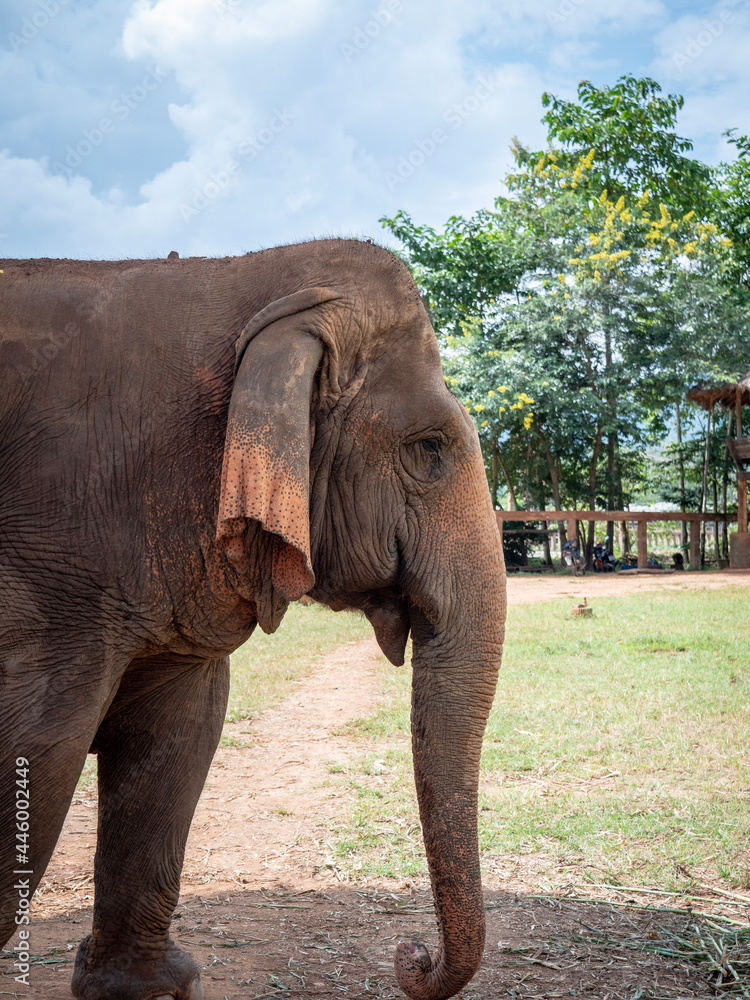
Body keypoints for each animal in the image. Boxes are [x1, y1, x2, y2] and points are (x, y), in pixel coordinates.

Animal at [0, 239, 505, 1000]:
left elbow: (181, 735)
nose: (410, 954)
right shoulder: (55, 557)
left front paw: (146, 987)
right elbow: (41, 748)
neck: (245, 276)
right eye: (430, 449)